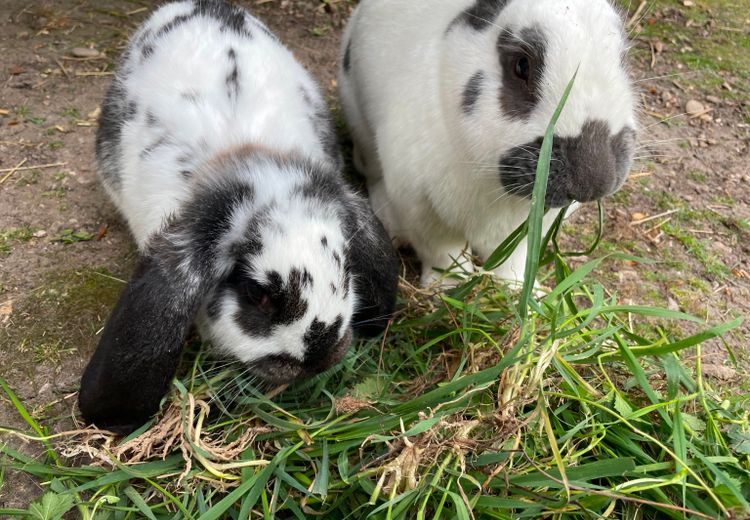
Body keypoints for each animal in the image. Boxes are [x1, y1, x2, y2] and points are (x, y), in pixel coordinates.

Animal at [340, 0, 640, 288]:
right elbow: (441, 252)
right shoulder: (420, 205)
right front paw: (447, 286)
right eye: (521, 65)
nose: (594, 182)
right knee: (372, 173)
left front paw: (521, 291)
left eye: (622, 59)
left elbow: (513, 260)